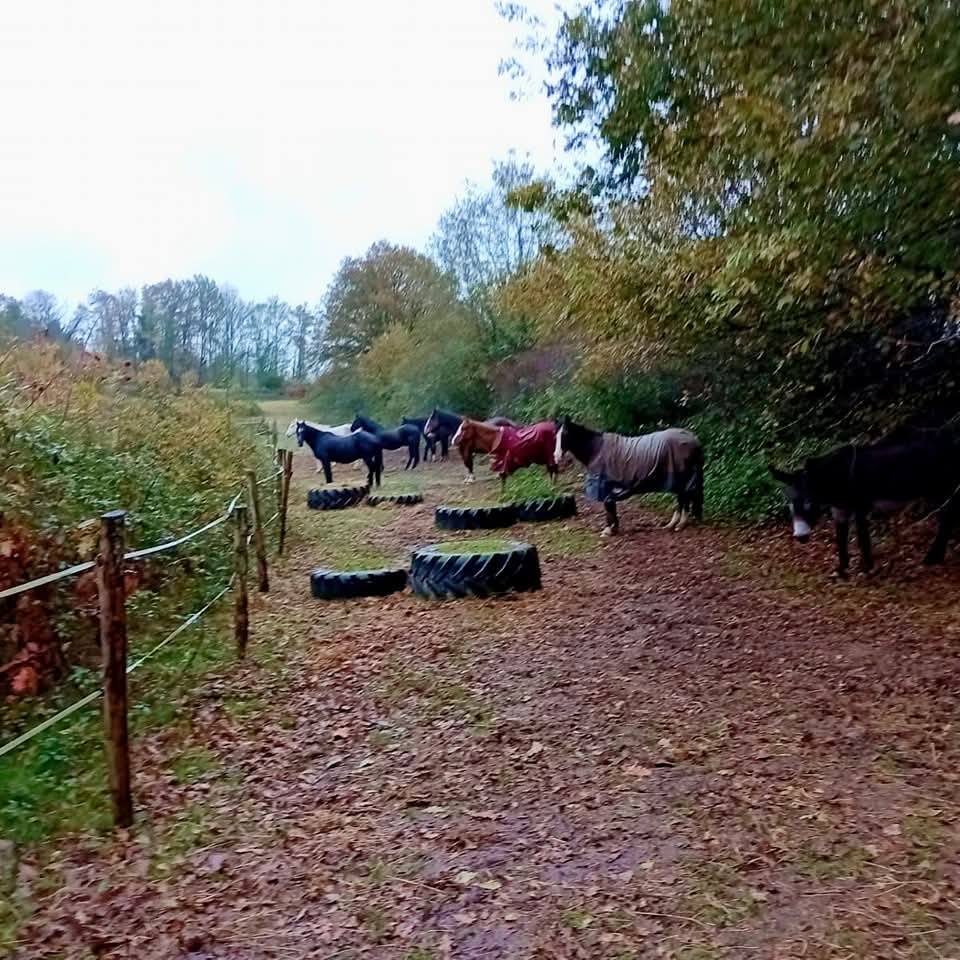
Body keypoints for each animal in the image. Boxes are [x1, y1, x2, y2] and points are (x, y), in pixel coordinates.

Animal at [555, 415, 704, 537]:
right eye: (555, 435)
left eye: (566, 434)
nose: (557, 456)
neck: (596, 450)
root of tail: (693, 439)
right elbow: (611, 507)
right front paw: (613, 528)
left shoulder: (605, 486)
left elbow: (609, 507)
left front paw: (609, 530)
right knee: (682, 500)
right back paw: (672, 524)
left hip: (682, 479)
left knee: (684, 499)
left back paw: (680, 525)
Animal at [769, 427, 960, 578]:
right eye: (790, 504)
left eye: (809, 501)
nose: (800, 538)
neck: (835, 479)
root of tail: (951, 441)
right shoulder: (839, 510)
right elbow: (841, 539)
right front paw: (841, 570)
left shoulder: (860, 507)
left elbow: (862, 538)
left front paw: (867, 569)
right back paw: (936, 556)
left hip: (939, 489)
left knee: (948, 517)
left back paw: (933, 557)